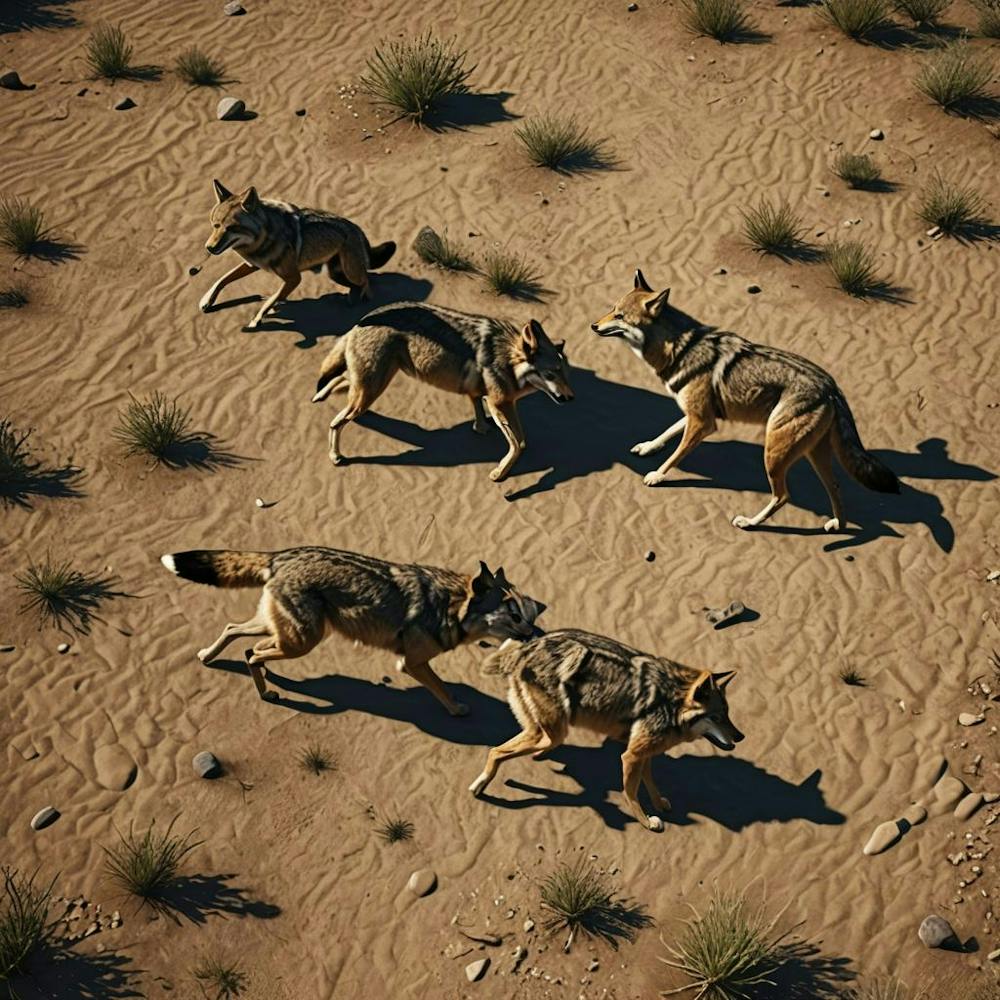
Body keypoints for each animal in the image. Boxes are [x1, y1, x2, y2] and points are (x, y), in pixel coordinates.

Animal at [159, 546, 545, 715]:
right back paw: (266, 693)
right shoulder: (411, 663)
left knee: (235, 633)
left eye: (529, 615)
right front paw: (457, 710)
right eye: (514, 616)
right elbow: (442, 689)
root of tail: (279, 555)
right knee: (252, 653)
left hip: (285, 632)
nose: (537, 637)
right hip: (302, 641)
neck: (449, 606)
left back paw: (210, 658)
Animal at [198, 180, 396, 330]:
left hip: (350, 272)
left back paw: (364, 297)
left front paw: (257, 319)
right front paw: (207, 300)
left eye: (231, 228)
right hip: (335, 274)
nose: (209, 248)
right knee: (362, 279)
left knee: (367, 279)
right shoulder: (252, 265)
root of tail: (357, 229)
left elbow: (271, 299)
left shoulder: (294, 278)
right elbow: (222, 279)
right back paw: (349, 297)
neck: (263, 238)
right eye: (215, 225)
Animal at [311, 301, 574, 481]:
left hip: (367, 387)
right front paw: (499, 473)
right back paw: (335, 456)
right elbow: (518, 444)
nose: (571, 398)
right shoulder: (499, 403)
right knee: (336, 421)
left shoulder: (489, 397)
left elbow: (487, 416)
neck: (507, 358)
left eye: (565, 372)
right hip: (370, 391)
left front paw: (481, 428)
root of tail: (362, 320)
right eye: (552, 373)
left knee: (339, 382)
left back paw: (320, 395)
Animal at [470, 629, 743, 832]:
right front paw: (646, 821)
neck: (671, 702)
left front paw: (659, 804)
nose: (741, 736)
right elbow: (631, 793)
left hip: (547, 732)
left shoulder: (644, 754)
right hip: (553, 732)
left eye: (728, 714)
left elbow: (651, 783)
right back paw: (480, 786)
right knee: (497, 751)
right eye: (717, 717)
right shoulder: (631, 755)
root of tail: (525, 649)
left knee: (510, 748)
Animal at [590, 269, 900, 531]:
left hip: (774, 453)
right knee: (836, 489)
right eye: (612, 309)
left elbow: (675, 455)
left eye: (620, 316)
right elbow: (667, 432)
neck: (680, 348)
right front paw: (648, 447)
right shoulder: (696, 416)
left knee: (783, 496)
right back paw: (837, 525)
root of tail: (832, 386)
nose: (593, 325)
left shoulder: (703, 423)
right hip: (813, 455)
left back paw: (750, 522)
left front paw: (656, 475)